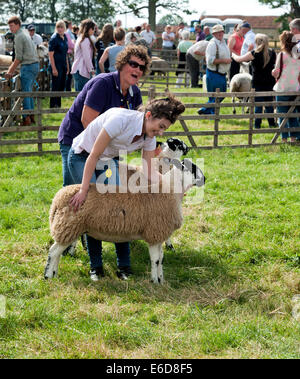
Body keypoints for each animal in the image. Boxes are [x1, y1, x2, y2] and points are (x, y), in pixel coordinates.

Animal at [44, 159, 204, 284]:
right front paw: (155, 281)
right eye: (192, 168)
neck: (169, 192)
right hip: (68, 226)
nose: (205, 179)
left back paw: (55, 274)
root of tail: (58, 198)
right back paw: (48, 276)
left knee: (57, 253)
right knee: (53, 251)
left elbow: (161, 258)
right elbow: (156, 260)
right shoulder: (154, 233)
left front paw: (161, 280)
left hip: (70, 227)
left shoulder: (158, 235)